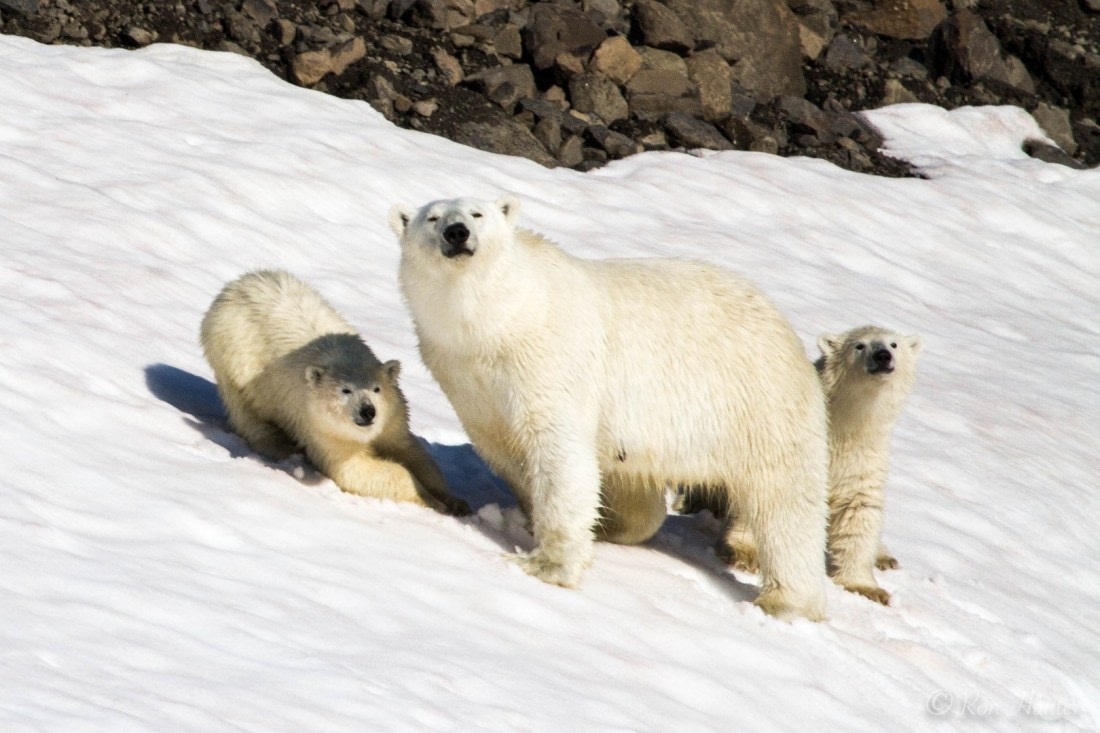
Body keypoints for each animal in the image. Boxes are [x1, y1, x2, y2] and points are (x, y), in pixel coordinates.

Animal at [391, 192, 827, 616]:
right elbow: (507, 449)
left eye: (477, 213)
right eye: (432, 218)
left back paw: (783, 599)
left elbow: (558, 450)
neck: (495, 322)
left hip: (759, 401)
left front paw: (548, 565)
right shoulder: (466, 379)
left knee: (784, 503)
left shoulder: (549, 359)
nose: (457, 233)